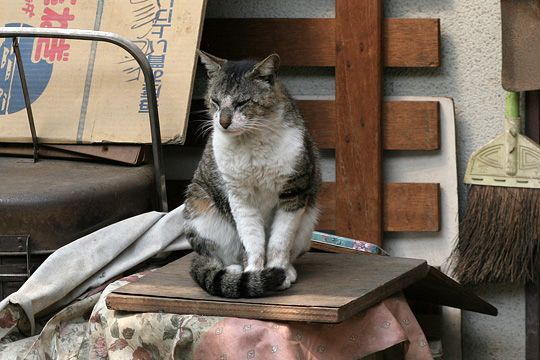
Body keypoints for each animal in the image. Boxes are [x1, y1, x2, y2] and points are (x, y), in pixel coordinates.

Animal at [186, 50, 320, 298]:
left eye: (242, 102)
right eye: (215, 101)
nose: (223, 122)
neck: (251, 142)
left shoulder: (294, 192)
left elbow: (279, 241)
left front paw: (278, 271)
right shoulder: (239, 196)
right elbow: (252, 239)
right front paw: (255, 273)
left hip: (308, 222)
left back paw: (287, 270)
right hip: (199, 212)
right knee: (216, 256)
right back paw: (235, 271)